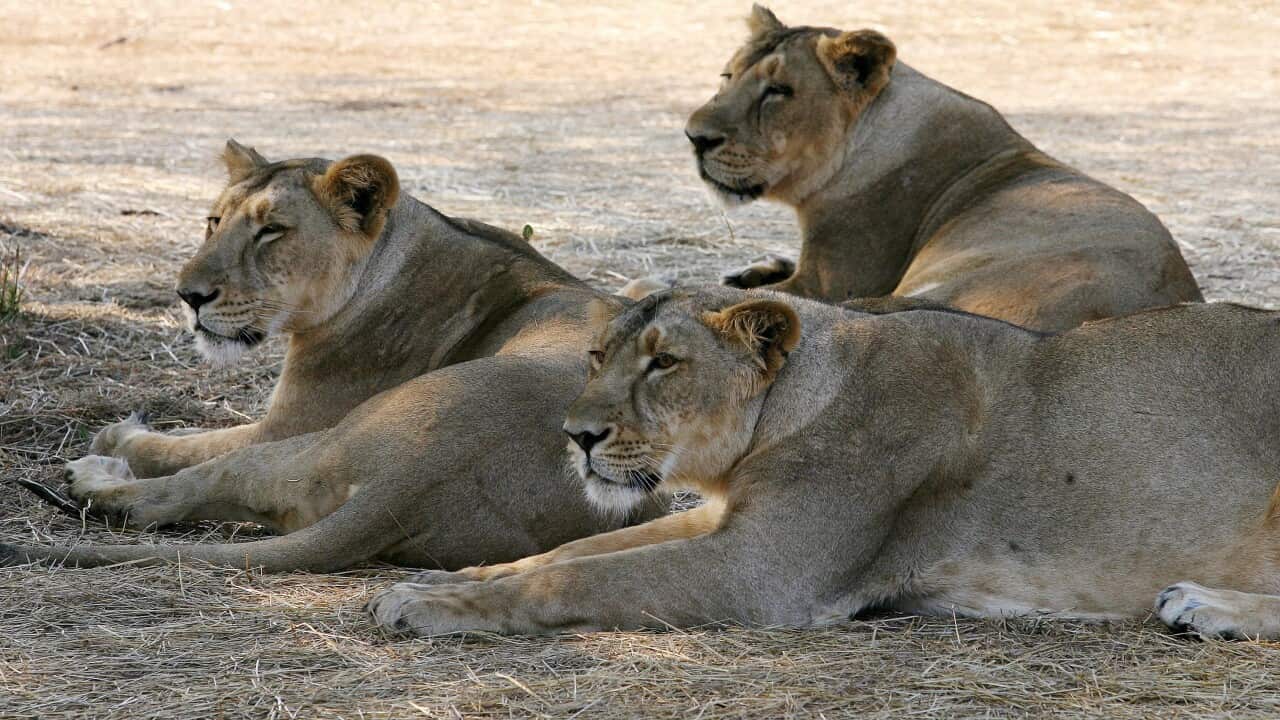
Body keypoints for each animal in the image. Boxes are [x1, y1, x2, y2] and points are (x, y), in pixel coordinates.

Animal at [2, 141, 666, 571]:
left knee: (182, 489)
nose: (187, 296)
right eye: (213, 222)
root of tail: (409, 483)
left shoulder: (286, 423)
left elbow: (179, 446)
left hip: (316, 440)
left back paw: (96, 478)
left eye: (271, 231)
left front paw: (120, 435)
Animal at [367, 287, 1280, 641]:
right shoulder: (726, 520)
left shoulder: (765, 571)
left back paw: (1204, 604)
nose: (576, 434)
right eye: (597, 356)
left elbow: (578, 577)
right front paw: (455, 579)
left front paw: (431, 607)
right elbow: (571, 550)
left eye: (664, 364)